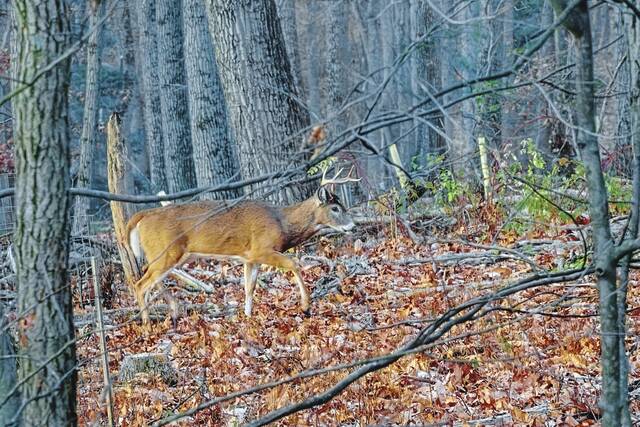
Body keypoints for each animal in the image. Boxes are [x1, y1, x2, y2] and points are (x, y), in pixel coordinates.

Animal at [126, 168, 359, 324]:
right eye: (336, 208)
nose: (353, 226)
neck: (282, 223)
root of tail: (143, 215)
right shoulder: (262, 248)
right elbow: (294, 264)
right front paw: (305, 306)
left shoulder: (250, 258)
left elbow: (249, 288)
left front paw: (247, 318)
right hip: (165, 252)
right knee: (140, 284)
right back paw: (147, 324)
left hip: (170, 255)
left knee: (148, 278)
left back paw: (171, 312)